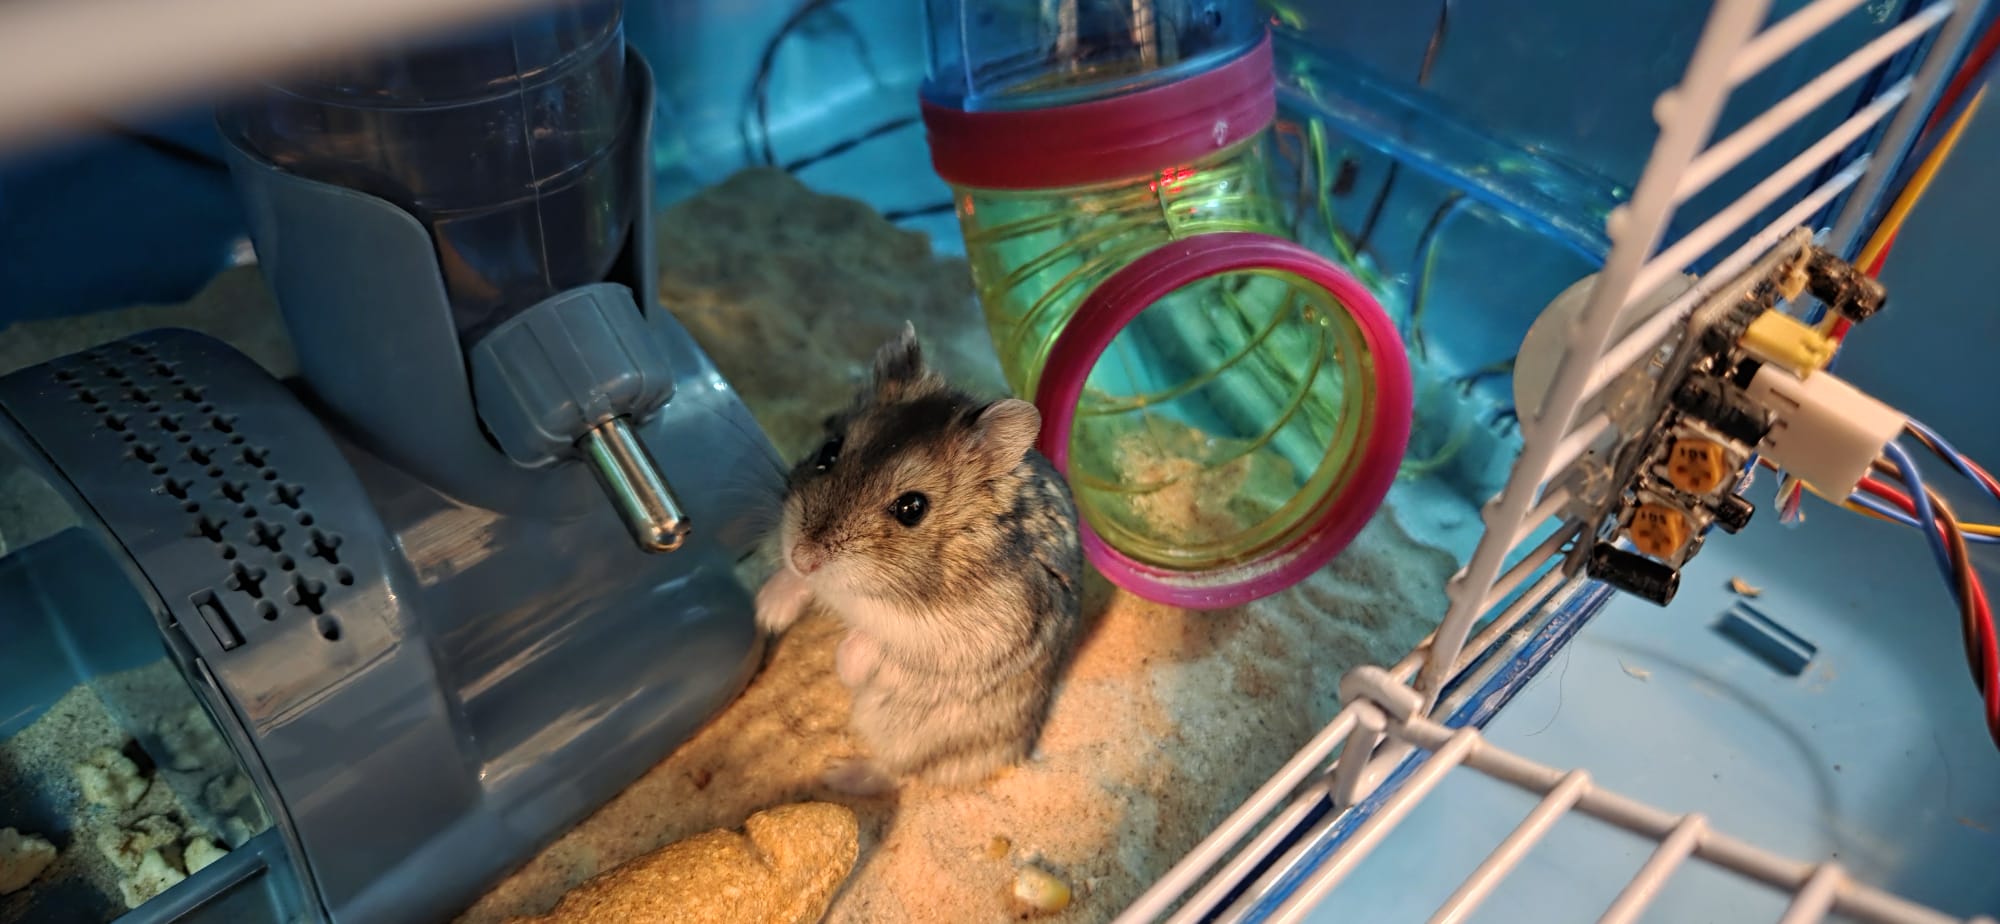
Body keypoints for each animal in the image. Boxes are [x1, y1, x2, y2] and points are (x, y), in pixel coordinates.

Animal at [754, 322, 1085, 795]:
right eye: (828, 451)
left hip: (917, 735)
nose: (803, 556)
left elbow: (880, 643)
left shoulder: (964, 642)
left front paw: (843, 664)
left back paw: (838, 774)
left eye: (912, 508)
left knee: (900, 771)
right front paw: (768, 613)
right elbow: (798, 585)